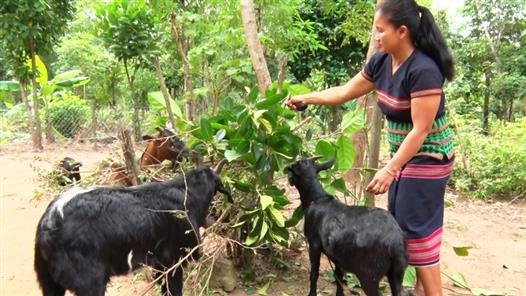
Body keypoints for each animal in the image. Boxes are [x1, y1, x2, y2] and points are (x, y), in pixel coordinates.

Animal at [33, 165, 231, 296]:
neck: (188, 195)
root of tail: (48, 222)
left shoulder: (160, 266)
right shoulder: (173, 261)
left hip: (49, 282)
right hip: (89, 282)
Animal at [288, 157, 408, 296]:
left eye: (296, 165)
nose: (288, 177)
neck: (317, 199)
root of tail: (395, 242)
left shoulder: (314, 244)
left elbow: (314, 273)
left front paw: (311, 294)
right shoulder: (338, 255)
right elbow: (338, 276)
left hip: (369, 274)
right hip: (397, 273)